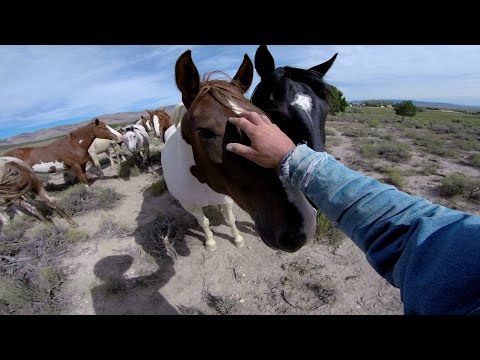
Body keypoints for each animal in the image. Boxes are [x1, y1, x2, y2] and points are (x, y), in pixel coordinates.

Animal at [161, 102, 244, 252]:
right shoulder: (189, 205)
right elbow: (203, 222)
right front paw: (210, 242)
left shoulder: (227, 197)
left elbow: (231, 219)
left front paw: (238, 238)